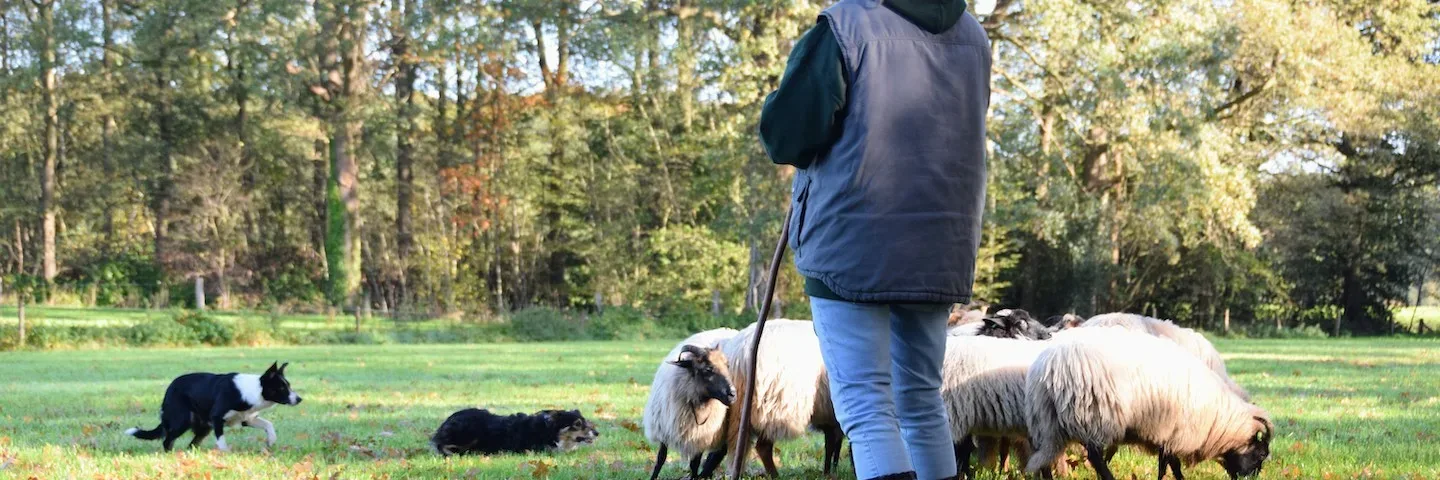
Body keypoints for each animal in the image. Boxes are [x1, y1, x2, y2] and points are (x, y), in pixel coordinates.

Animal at [124, 360, 303, 449]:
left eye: (289, 386)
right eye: (281, 388)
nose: (299, 399)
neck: (253, 390)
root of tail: (169, 389)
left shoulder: (248, 419)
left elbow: (268, 424)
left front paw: (271, 440)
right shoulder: (217, 418)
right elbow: (222, 441)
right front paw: (226, 455)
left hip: (204, 427)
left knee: (192, 445)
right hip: (183, 420)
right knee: (167, 441)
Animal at [650, 325, 743, 478]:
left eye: (727, 366)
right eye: (708, 369)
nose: (732, 394)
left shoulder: (700, 436)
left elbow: (694, 463)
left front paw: (694, 476)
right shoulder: (664, 429)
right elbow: (660, 459)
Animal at [1025, 327, 1272, 478]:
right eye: (1261, 455)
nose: (1251, 478)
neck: (1217, 420)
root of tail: (1048, 366)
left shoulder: (1166, 434)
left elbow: (1167, 464)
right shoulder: (1174, 431)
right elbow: (1170, 465)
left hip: (1048, 421)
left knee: (1045, 455)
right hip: (1093, 415)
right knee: (1095, 457)